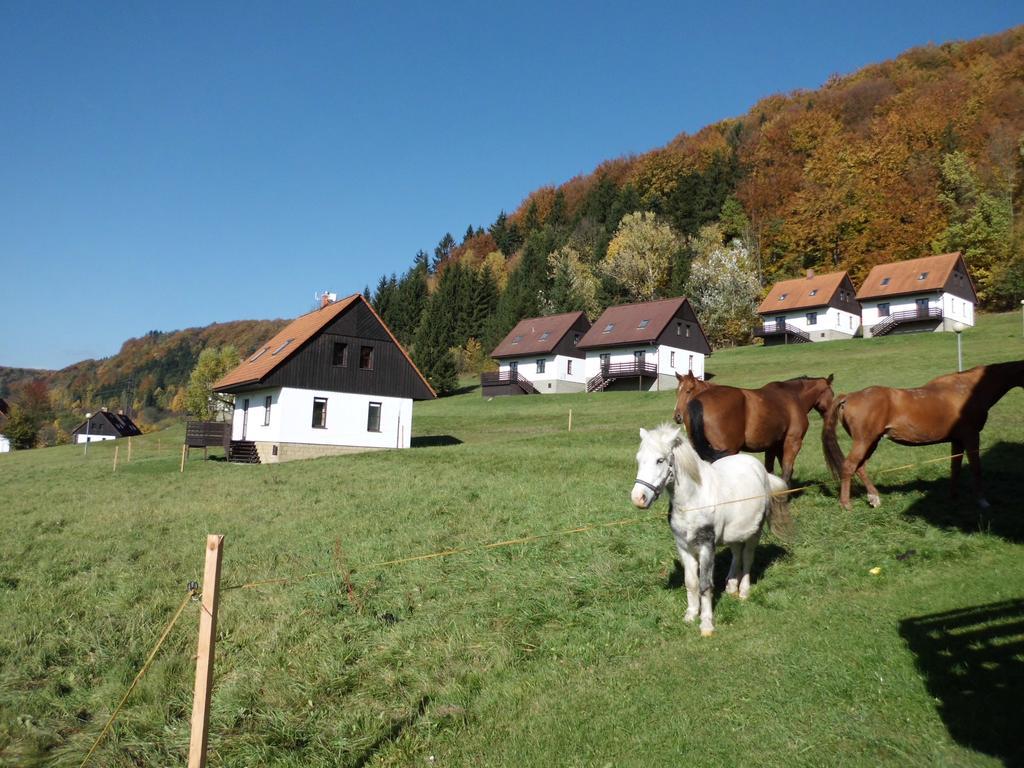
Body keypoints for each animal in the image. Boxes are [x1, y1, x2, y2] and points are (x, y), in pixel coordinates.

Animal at [630, 428, 790, 638]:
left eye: (660, 460)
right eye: (639, 459)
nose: (638, 498)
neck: (693, 501)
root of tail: (761, 470)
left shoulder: (707, 546)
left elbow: (705, 585)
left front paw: (706, 624)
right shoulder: (684, 547)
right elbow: (691, 582)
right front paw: (690, 615)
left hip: (754, 531)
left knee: (747, 557)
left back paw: (743, 592)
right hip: (734, 532)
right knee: (736, 553)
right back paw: (731, 586)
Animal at [675, 370, 835, 483]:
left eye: (688, 390)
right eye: (832, 394)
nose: (677, 416)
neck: (793, 397)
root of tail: (699, 401)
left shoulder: (773, 445)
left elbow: (772, 470)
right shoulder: (793, 441)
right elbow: (787, 469)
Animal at [819, 360, 1024, 512]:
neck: (968, 388)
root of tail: (849, 397)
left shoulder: (957, 440)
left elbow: (955, 468)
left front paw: (953, 497)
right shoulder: (971, 436)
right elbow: (976, 468)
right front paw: (982, 501)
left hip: (872, 442)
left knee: (860, 467)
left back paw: (874, 498)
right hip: (865, 441)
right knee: (849, 466)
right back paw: (846, 504)